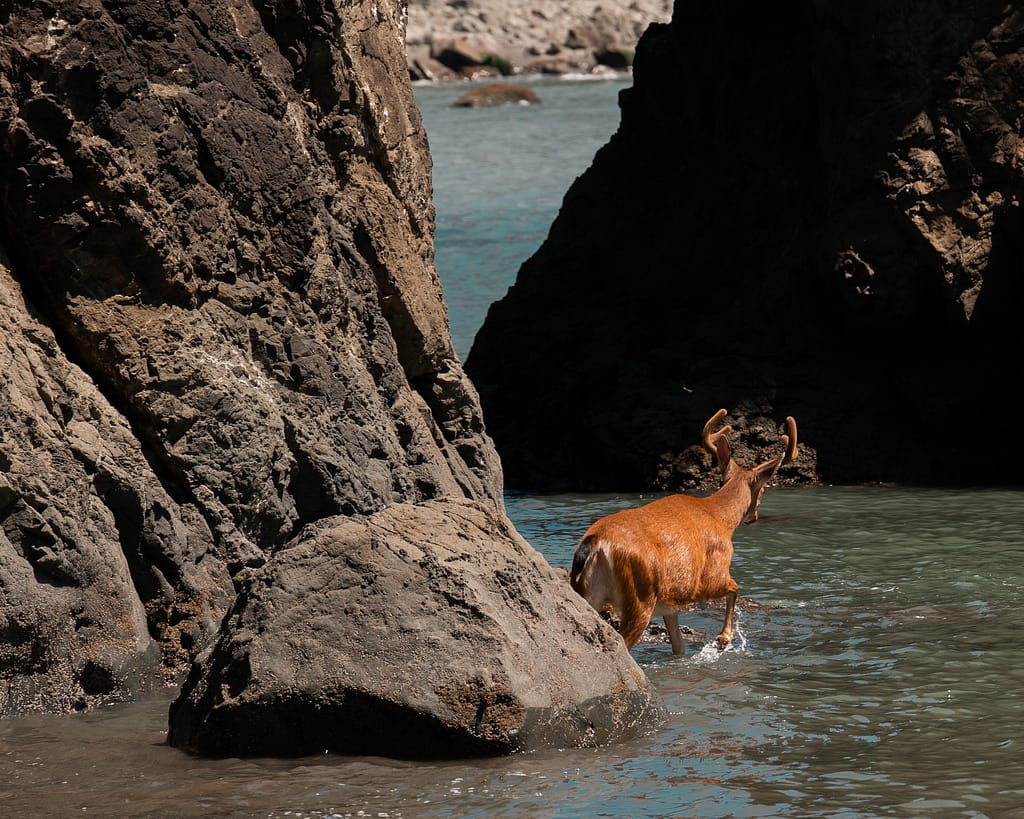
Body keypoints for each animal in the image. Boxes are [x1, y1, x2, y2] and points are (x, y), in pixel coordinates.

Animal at [569, 409, 798, 651]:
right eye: (762, 489)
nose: (754, 517)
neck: (720, 517)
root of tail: (595, 543)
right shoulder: (711, 575)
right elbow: (735, 587)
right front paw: (724, 637)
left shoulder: (671, 604)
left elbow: (679, 647)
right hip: (641, 594)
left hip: (589, 592)